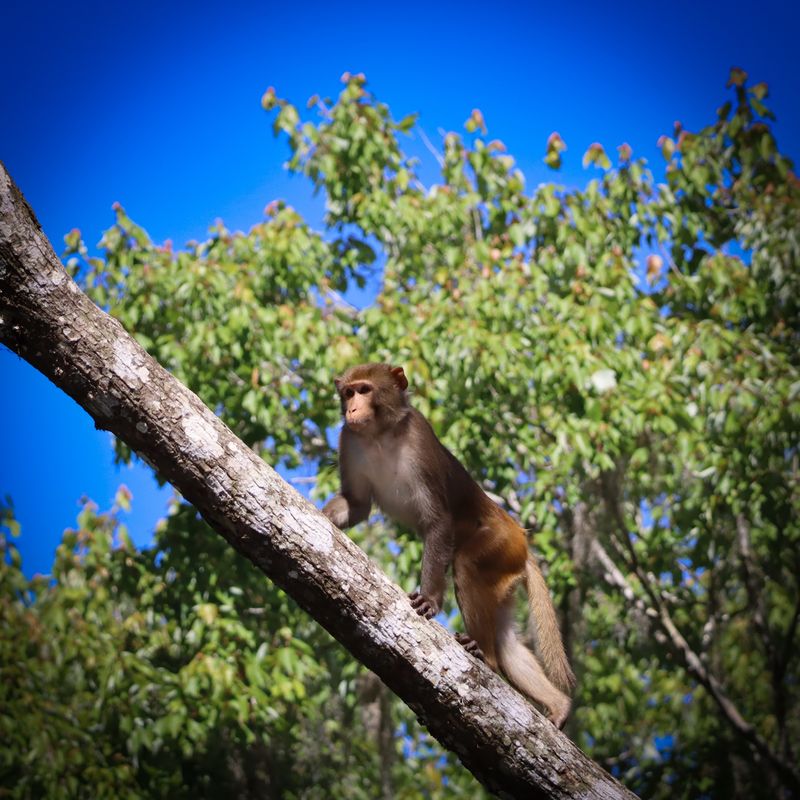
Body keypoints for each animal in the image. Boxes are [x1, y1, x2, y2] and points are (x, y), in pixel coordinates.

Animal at [322, 363, 575, 728]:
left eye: (365, 390)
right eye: (349, 393)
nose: (353, 410)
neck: (380, 435)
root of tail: (523, 545)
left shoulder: (418, 439)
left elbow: (438, 520)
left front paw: (428, 600)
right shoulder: (349, 439)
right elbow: (357, 504)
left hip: (500, 542)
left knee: (467, 565)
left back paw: (484, 655)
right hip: (506, 569)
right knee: (507, 640)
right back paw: (559, 705)